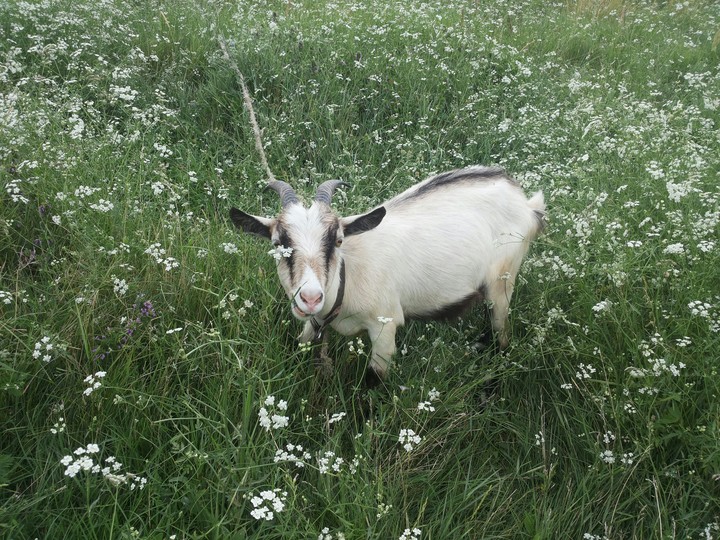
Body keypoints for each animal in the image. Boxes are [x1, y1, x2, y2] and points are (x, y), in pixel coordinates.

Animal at [230, 166, 545, 379]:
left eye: (338, 241)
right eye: (278, 245)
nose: (310, 298)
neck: (347, 278)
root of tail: (526, 203)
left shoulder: (385, 326)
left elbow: (372, 383)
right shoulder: (313, 325)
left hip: (502, 280)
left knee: (501, 332)